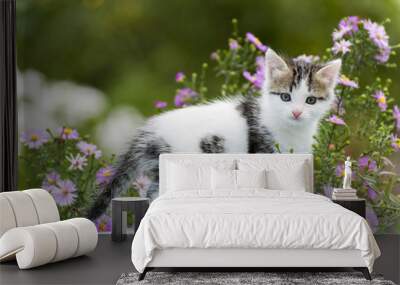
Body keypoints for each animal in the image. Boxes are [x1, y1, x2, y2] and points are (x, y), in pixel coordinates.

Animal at [87, 48, 340, 217]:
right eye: (286, 97)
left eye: (310, 100)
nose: (296, 113)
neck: (290, 128)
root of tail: (148, 132)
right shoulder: (263, 147)